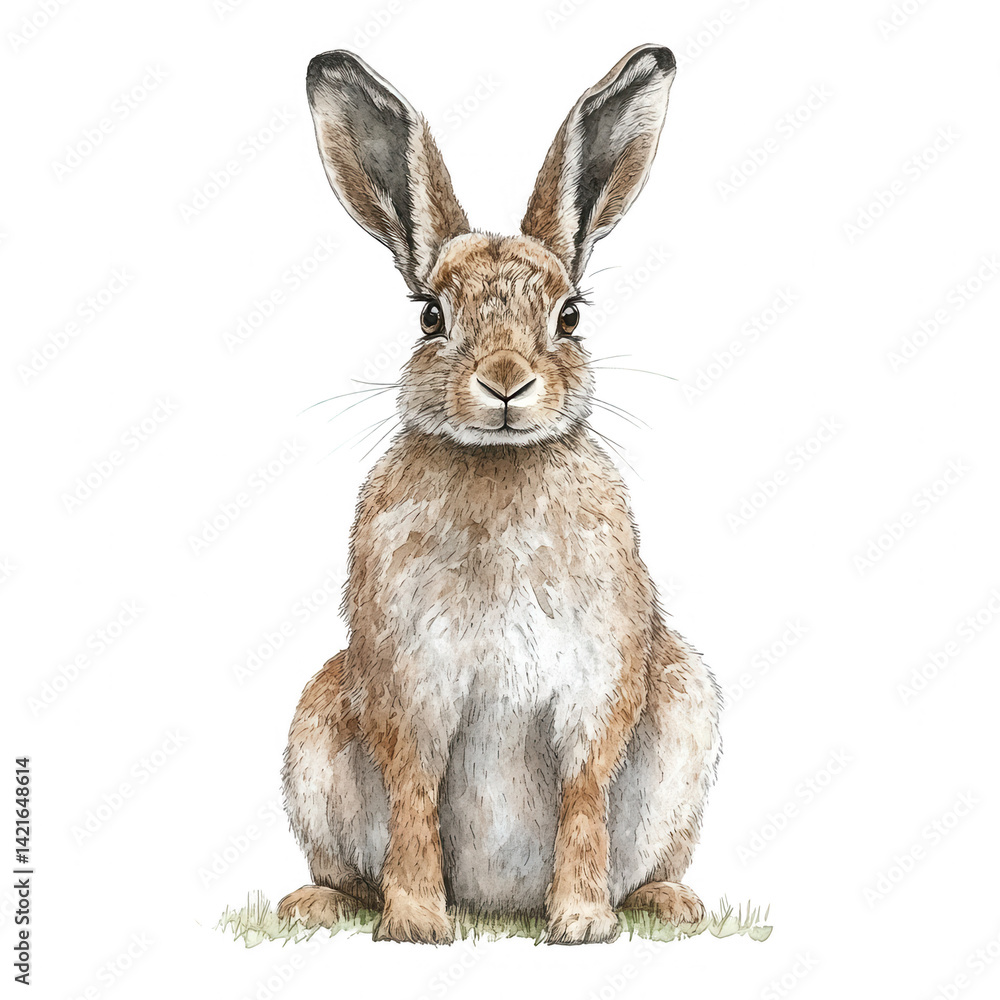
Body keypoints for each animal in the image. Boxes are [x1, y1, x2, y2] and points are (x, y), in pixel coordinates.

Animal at [277, 44, 721, 945]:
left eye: (571, 316)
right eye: (429, 317)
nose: (506, 382)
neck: (501, 466)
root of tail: (498, 903)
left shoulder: (598, 678)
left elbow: (584, 794)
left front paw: (580, 923)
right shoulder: (407, 679)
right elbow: (414, 792)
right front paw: (417, 923)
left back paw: (666, 902)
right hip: (313, 736)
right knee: (345, 864)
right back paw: (321, 902)